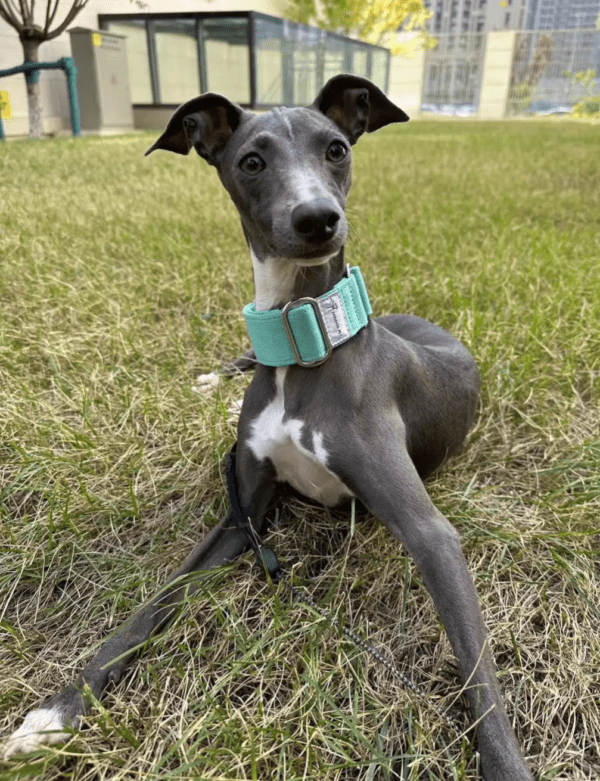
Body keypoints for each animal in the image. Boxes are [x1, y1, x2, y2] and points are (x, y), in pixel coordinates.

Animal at [3, 74, 528, 780]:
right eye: (251, 161)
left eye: (337, 149)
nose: (318, 219)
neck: (301, 338)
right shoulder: (242, 515)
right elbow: (154, 603)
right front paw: (56, 713)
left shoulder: (430, 535)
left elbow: (480, 677)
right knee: (237, 360)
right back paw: (209, 382)